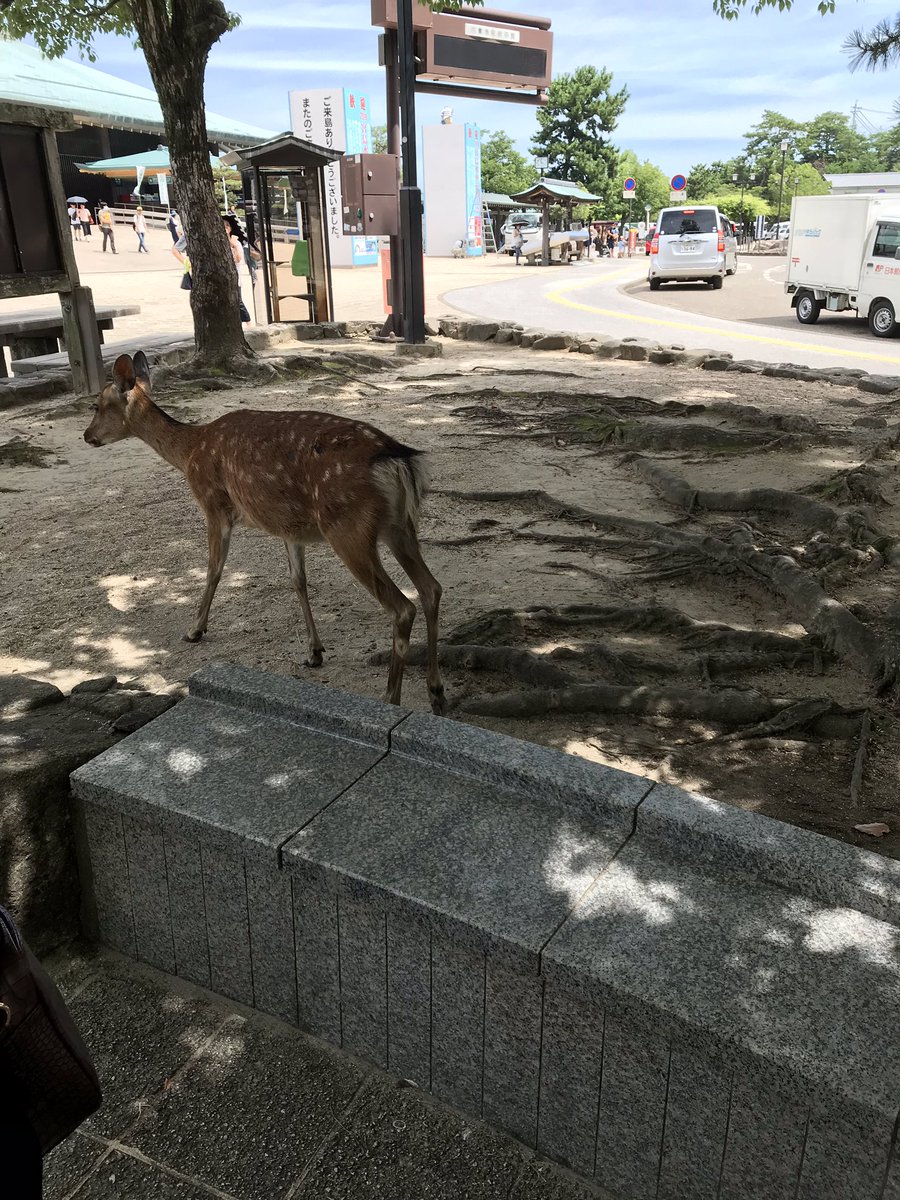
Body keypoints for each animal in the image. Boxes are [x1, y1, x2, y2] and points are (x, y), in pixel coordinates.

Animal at [83, 352, 446, 715]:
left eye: (97, 404)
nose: (87, 436)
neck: (189, 452)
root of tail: (398, 459)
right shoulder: (289, 527)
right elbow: (298, 580)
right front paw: (314, 652)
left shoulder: (214, 504)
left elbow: (214, 569)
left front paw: (195, 630)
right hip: (400, 526)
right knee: (432, 588)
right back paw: (436, 692)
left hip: (348, 527)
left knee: (402, 607)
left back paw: (391, 701)